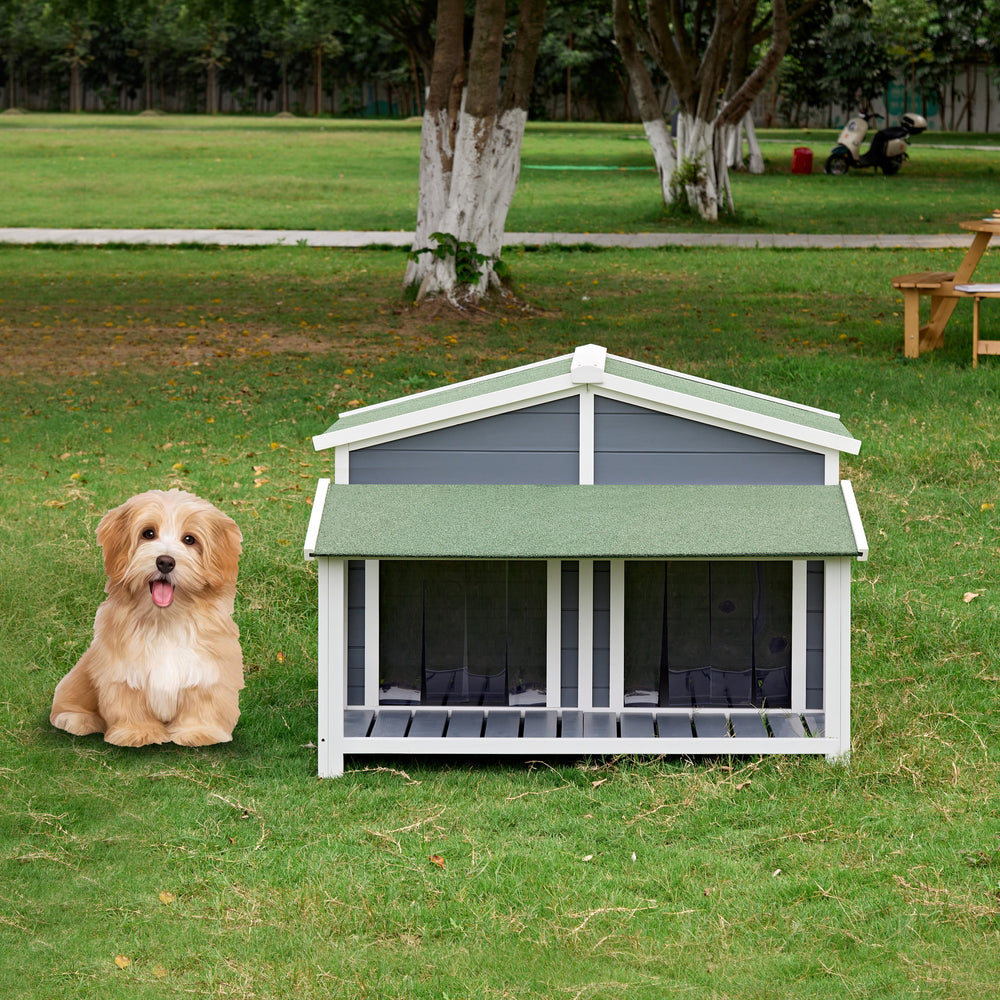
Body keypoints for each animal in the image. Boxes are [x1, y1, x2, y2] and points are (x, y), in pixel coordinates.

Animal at [51, 488, 245, 748]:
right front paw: (137, 732)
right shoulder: (122, 670)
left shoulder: (208, 669)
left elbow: (202, 700)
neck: (165, 619)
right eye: (148, 534)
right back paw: (77, 720)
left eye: (189, 539)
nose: (165, 561)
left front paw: (199, 731)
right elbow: (129, 701)